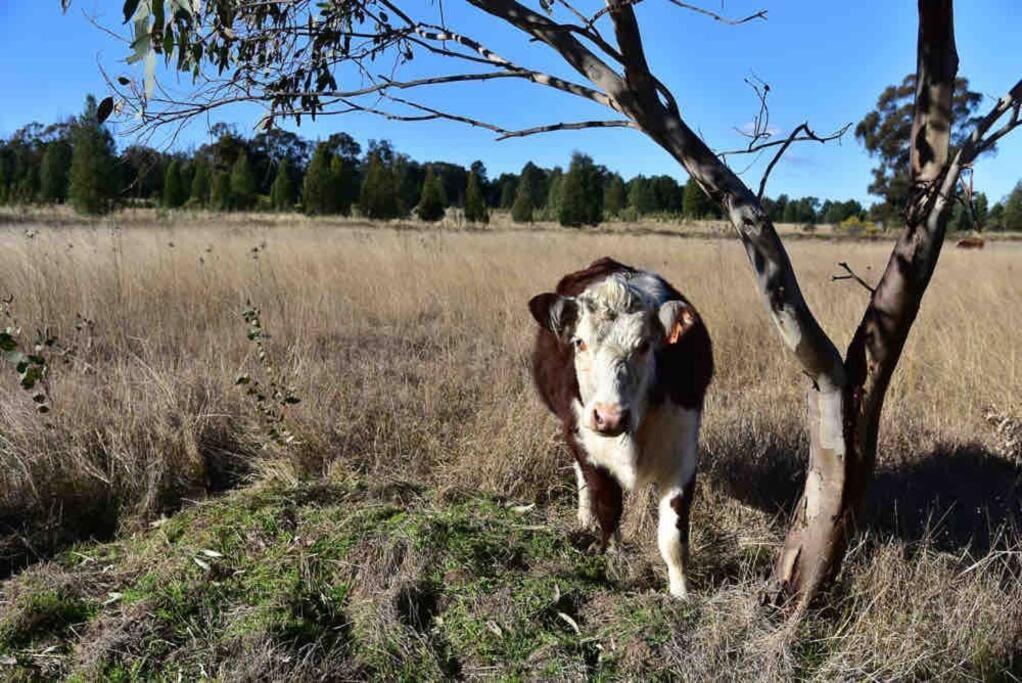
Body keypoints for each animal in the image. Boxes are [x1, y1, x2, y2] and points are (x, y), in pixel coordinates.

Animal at [527, 255, 711, 597]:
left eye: (644, 346)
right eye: (580, 342)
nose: (609, 416)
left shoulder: (682, 452)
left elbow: (673, 536)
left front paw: (680, 593)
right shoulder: (585, 443)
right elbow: (608, 506)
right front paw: (614, 561)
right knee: (581, 477)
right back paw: (584, 516)